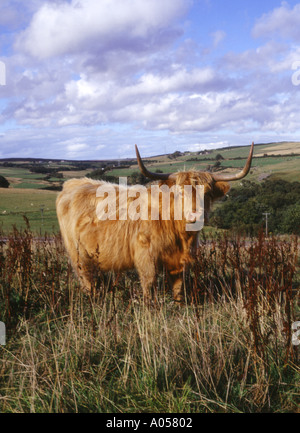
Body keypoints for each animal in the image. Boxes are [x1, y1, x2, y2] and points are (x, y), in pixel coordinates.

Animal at [55, 143, 253, 302]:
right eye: (180, 192)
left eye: (207, 193)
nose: (194, 216)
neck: (180, 234)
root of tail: (73, 183)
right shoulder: (146, 256)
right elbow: (149, 284)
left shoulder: (180, 260)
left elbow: (178, 286)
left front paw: (179, 306)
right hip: (78, 254)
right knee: (86, 278)